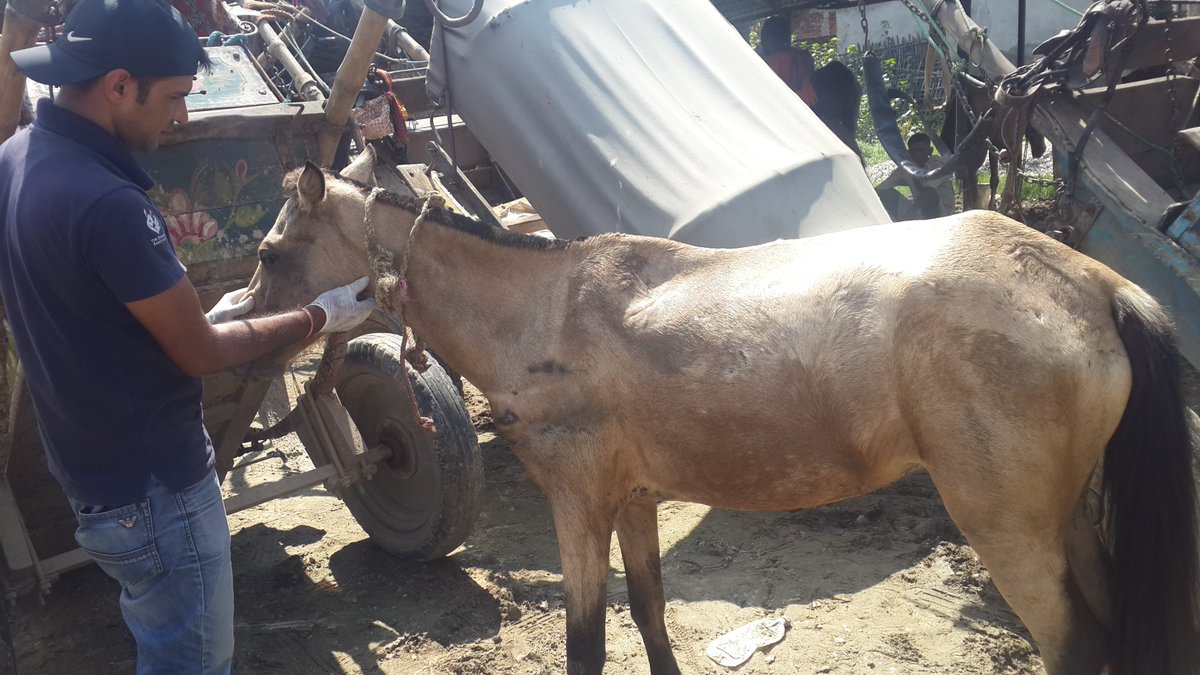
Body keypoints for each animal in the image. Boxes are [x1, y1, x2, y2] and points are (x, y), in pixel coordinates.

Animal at [246, 149, 1199, 675]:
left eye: (269, 251)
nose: (250, 337)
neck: (545, 312)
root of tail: (1093, 284)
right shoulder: (632, 502)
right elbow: (650, 614)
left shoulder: (578, 504)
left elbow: (586, 643)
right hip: (1072, 517)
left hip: (1010, 526)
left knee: (1076, 645)